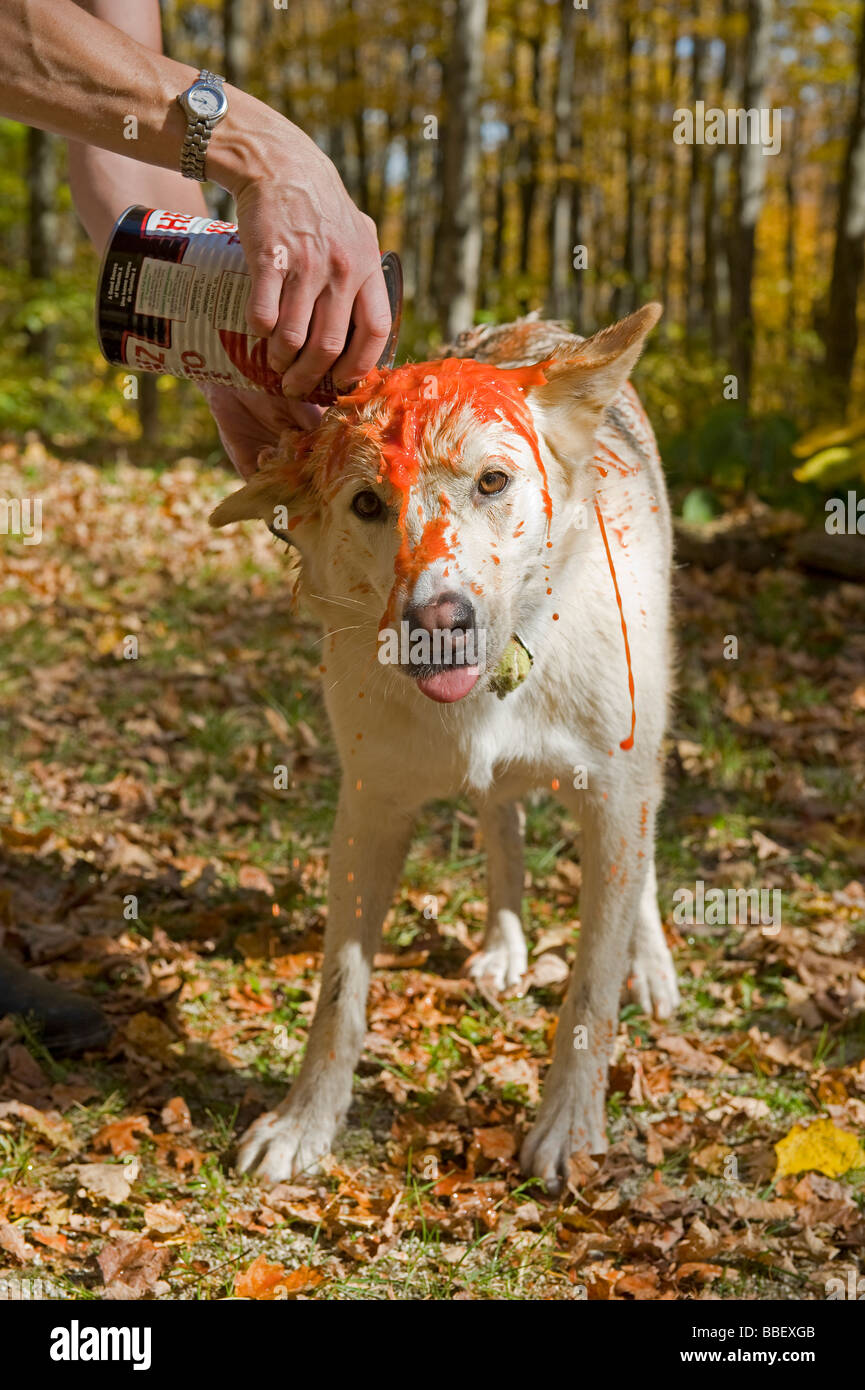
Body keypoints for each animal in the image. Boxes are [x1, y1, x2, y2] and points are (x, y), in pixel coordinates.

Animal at [208, 304, 678, 1195]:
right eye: (367, 503)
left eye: (492, 482)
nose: (438, 620)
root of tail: (535, 329)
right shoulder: (368, 809)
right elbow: (340, 995)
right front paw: (304, 1124)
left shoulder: (612, 796)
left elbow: (589, 994)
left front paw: (568, 1130)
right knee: (500, 822)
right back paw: (502, 946)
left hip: (640, 760)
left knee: (637, 874)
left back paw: (652, 967)